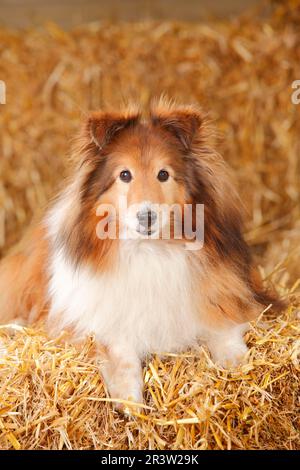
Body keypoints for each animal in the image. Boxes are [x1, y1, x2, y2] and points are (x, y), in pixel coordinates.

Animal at [0, 98, 282, 408]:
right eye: (125, 175)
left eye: (163, 174)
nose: (146, 216)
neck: (149, 250)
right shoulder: (95, 320)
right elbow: (121, 353)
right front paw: (130, 401)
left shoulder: (221, 292)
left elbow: (223, 325)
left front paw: (237, 363)